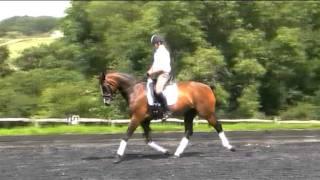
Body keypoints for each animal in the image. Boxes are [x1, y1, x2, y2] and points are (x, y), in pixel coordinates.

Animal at [99, 71, 235, 162]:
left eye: (105, 86)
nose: (106, 102)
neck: (134, 90)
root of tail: (207, 87)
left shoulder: (137, 117)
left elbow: (127, 135)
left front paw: (117, 156)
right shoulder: (144, 120)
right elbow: (148, 139)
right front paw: (165, 151)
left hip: (206, 112)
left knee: (218, 125)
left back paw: (229, 147)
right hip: (189, 114)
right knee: (188, 132)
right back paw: (176, 154)